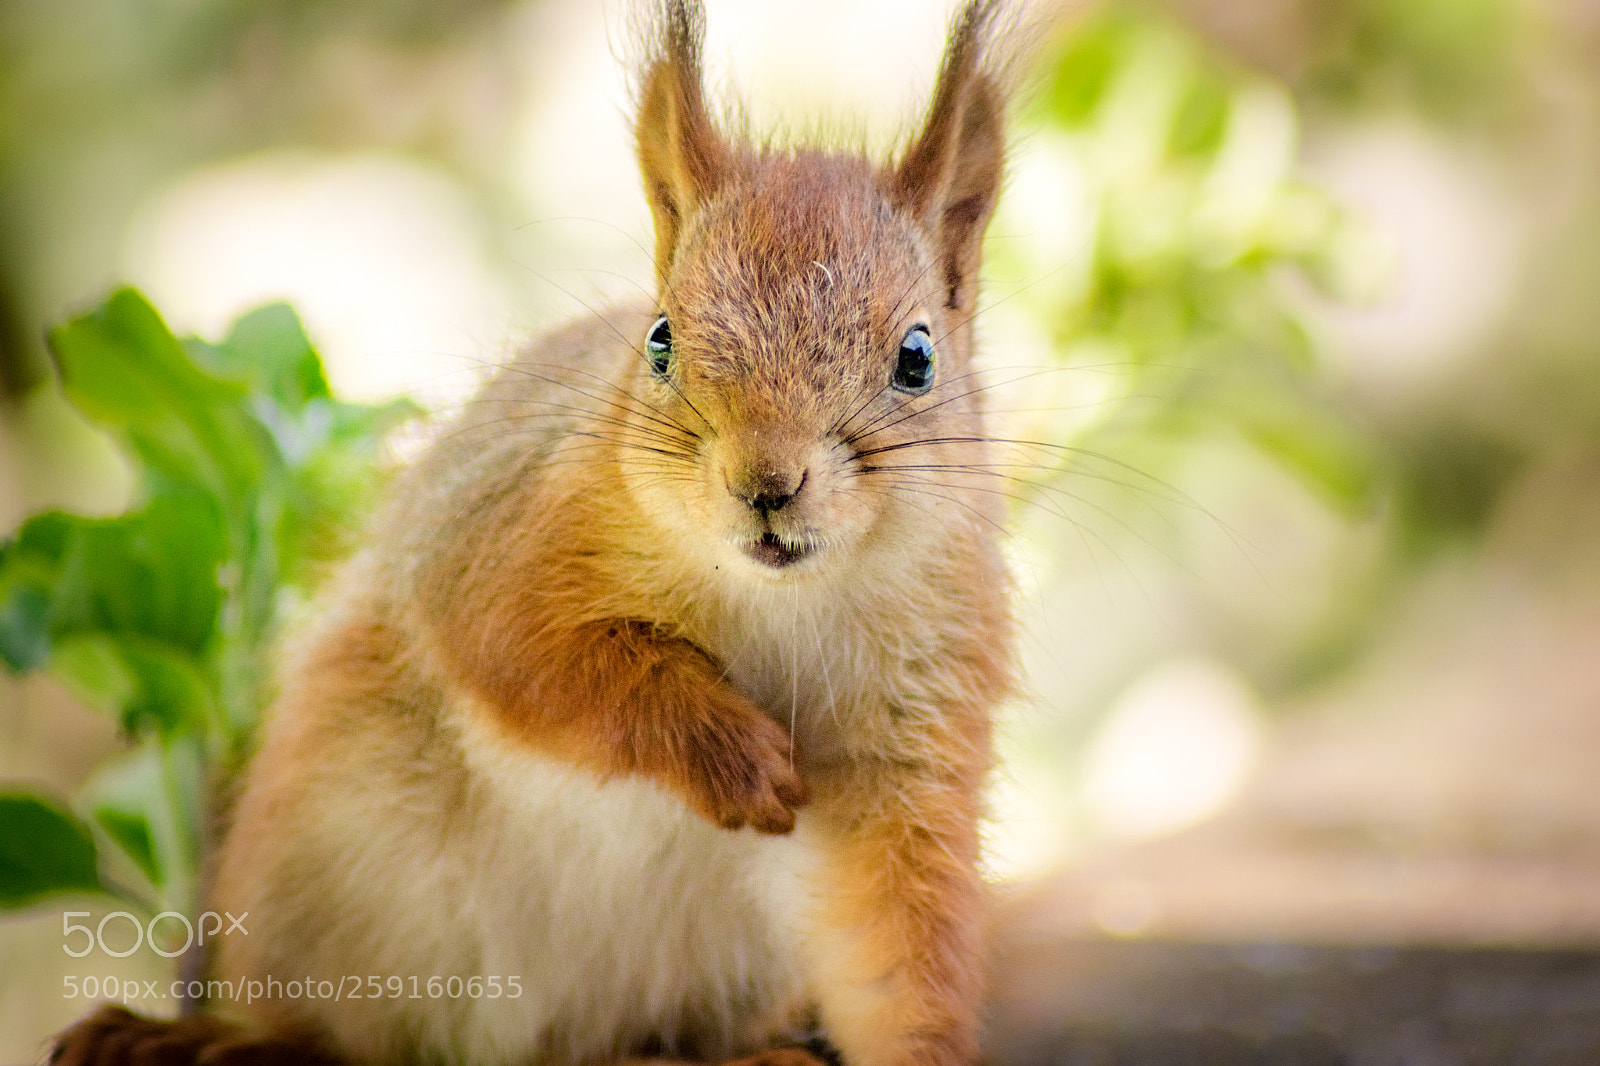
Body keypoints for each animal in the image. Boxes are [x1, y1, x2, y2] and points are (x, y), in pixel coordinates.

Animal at [52, 1, 1017, 1064]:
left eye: (917, 357)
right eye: (660, 340)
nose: (764, 484)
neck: (780, 597)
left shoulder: (919, 730)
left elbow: (896, 928)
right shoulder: (508, 532)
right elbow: (536, 658)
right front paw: (732, 755)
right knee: (318, 1031)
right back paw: (196, 1040)